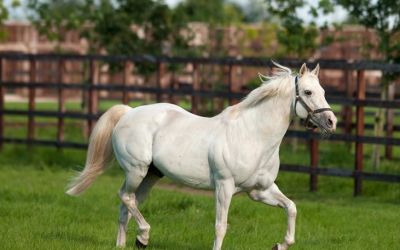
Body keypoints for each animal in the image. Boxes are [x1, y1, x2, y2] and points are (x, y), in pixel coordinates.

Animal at [67, 63, 336, 250]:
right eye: (308, 92)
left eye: (323, 90)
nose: (331, 121)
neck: (253, 136)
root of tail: (128, 113)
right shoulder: (224, 186)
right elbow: (221, 226)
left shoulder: (260, 191)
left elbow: (291, 208)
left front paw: (280, 244)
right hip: (136, 170)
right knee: (125, 197)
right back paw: (143, 235)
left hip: (151, 175)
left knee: (127, 203)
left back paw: (127, 243)